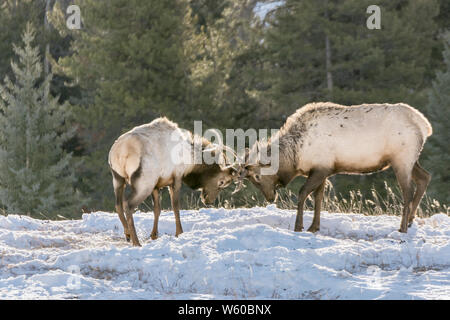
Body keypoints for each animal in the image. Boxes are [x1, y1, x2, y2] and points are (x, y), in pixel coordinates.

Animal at [108, 117, 237, 245]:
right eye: (221, 182)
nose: (209, 201)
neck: (190, 160)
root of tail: (120, 153)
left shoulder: (157, 185)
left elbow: (157, 209)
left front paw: (154, 235)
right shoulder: (176, 178)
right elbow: (175, 207)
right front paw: (179, 232)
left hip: (118, 179)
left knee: (118, 205)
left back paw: (128, 234)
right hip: (144, 183)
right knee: (128, 204)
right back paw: (136, 242)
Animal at [236, 104, 432, 234]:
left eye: (257, 177)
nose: (270, 198)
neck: (296, 155)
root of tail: (425, 126)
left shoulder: (321, 168)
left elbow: (303, 193)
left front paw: (299, 226)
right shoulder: (323, 170)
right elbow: (319, 197)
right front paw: (314, 227)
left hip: (402, 158)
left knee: (408, 190)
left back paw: (402, 227)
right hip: (410, 160)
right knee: (425, 177)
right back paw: (411, 220)